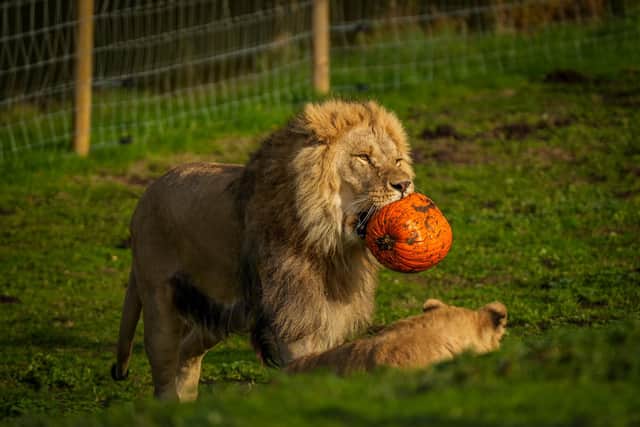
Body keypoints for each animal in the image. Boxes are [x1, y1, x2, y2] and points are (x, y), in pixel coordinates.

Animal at [111, 100, 415, 401]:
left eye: (397, 161)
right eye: (363, 157)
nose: (404, 185)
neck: (329, 245)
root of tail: (147, 193)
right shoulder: (295, 319)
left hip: (222, 312)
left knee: (187, 351)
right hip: (158, 302)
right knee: (164, 369)